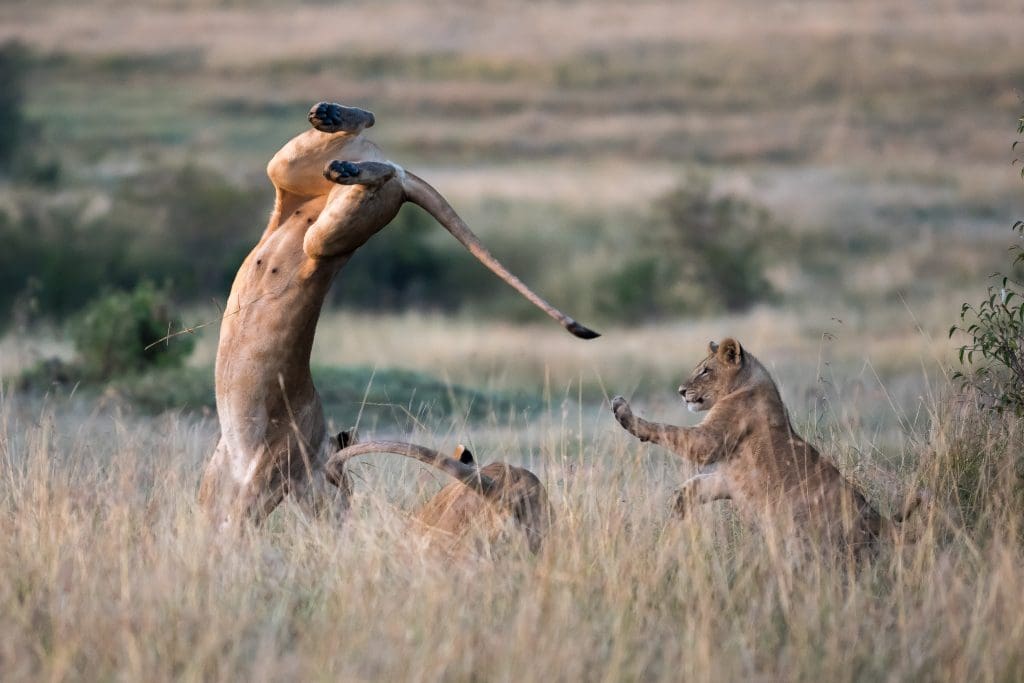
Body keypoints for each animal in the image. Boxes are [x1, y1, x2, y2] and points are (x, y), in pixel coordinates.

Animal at [198, 101, 598, 532]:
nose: (345, 513)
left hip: (325, 228)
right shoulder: (243, 480)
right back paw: (333, 128)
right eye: (343, 484)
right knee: (373, 150)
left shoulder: (263, 475)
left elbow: (229, 528)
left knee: (385, 171)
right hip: (296, 183)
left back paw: (343, 155)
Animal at [610, 339, 925, 552]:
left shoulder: (709, 440)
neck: (747, 383)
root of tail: (877, 517)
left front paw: (624, 412)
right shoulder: (729, 477)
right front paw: (678, 502)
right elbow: (700, 484)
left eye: (705, 371)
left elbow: (668, 431)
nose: (680, 391)